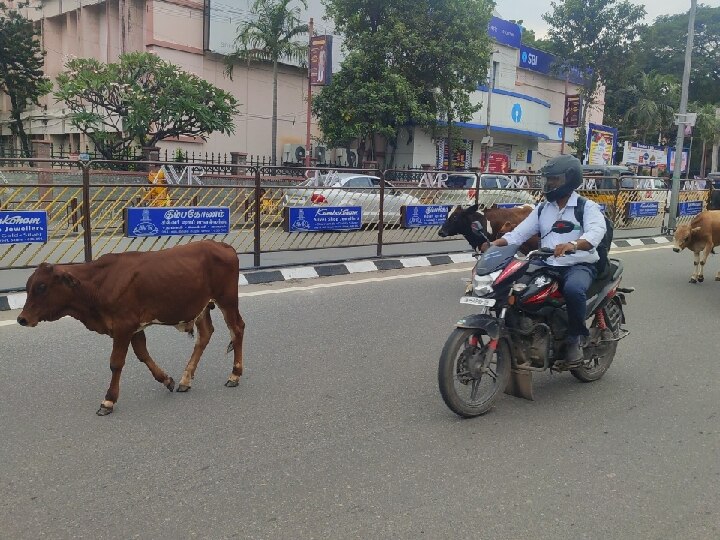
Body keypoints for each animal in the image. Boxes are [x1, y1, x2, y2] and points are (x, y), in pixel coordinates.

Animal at [16, 238, 246, 416]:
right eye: (28, 286)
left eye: (42, 287)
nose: (22, 319)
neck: (97, 284)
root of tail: (222, 245)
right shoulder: (134, 328)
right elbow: (143, 354)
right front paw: (167, 380)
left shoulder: (123, 326)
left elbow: (116, 363)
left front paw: (108, 400)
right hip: (201, 307)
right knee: (205, 335)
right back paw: (185, 380)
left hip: (227, 300)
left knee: (237, 329)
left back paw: (234, 375)